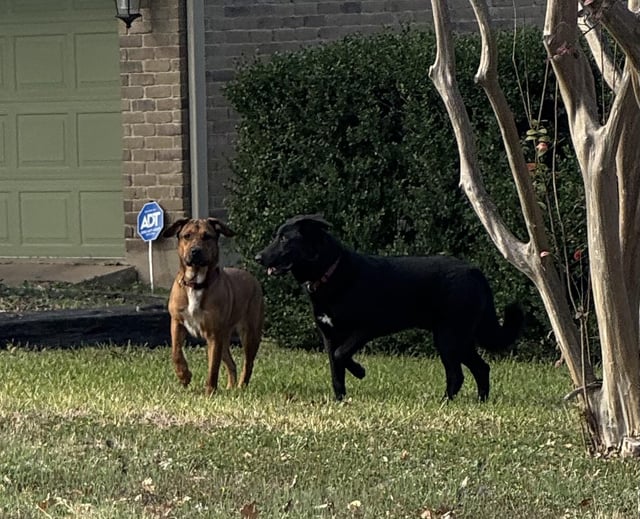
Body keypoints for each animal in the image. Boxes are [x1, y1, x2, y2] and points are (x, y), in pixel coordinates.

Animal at [165, 217, 264, 396]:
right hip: (224, 339)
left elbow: (213, 367)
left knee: (248, 363)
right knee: (231, 363)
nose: (195, 251)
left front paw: (210, 391)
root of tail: (252, 278)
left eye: (207, 236)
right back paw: (231, 387)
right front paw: (184, 376)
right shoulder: (177, 322)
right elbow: (176, 352)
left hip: (250, 333)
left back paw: (241, 387)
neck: (196, 284)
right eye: (186, 236)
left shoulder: (213, 334)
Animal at [255, 215, 524, 402]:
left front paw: (360, 371)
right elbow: (335, 368)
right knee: (481, 367)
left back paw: (445, 401)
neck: (330, 271)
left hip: (449, 338)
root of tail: (474, 270)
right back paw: (481, 400)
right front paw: (340, 399)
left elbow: (342, 355)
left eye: (284, 239)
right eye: (276, 236)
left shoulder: (364, 329)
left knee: (457, 375)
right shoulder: (329, 336)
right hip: (459, 338)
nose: (258, 257)